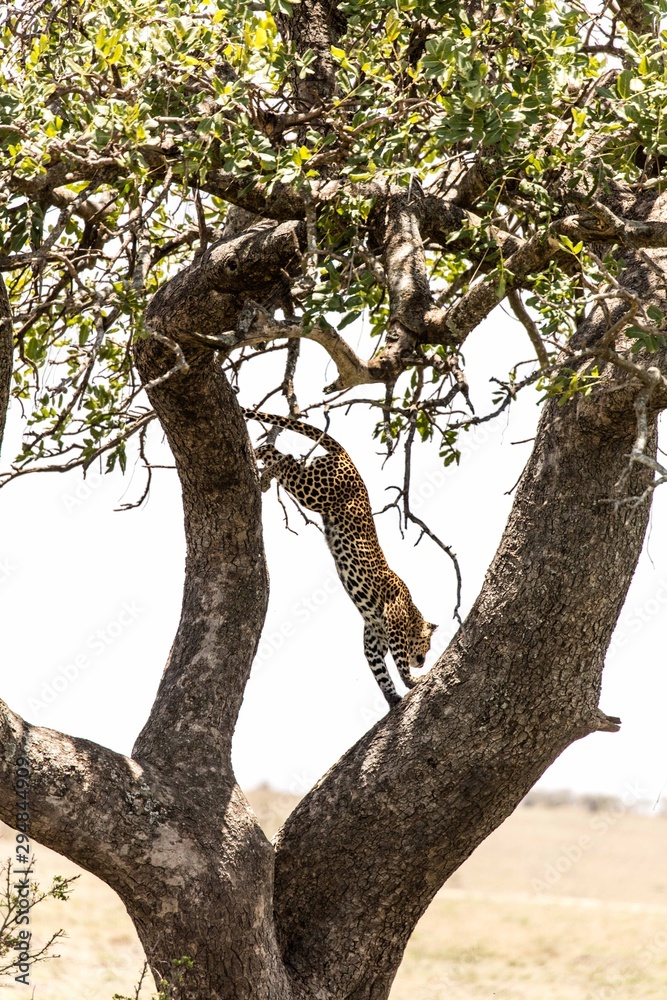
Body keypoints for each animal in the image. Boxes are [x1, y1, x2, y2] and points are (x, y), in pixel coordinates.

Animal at [245, 410, 438, 708]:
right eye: (427, 646)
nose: (423, 661)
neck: (411, 613)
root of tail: (348, 458)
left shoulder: (373, 637)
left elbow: (379, 670)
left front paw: (392, 697)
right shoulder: (394, 624)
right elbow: (398, 660)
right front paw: (412, 681)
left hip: (312, 482)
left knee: (275, 452)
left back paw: (260, 467)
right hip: (315, 491)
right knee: (287, 459)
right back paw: (266, 473)